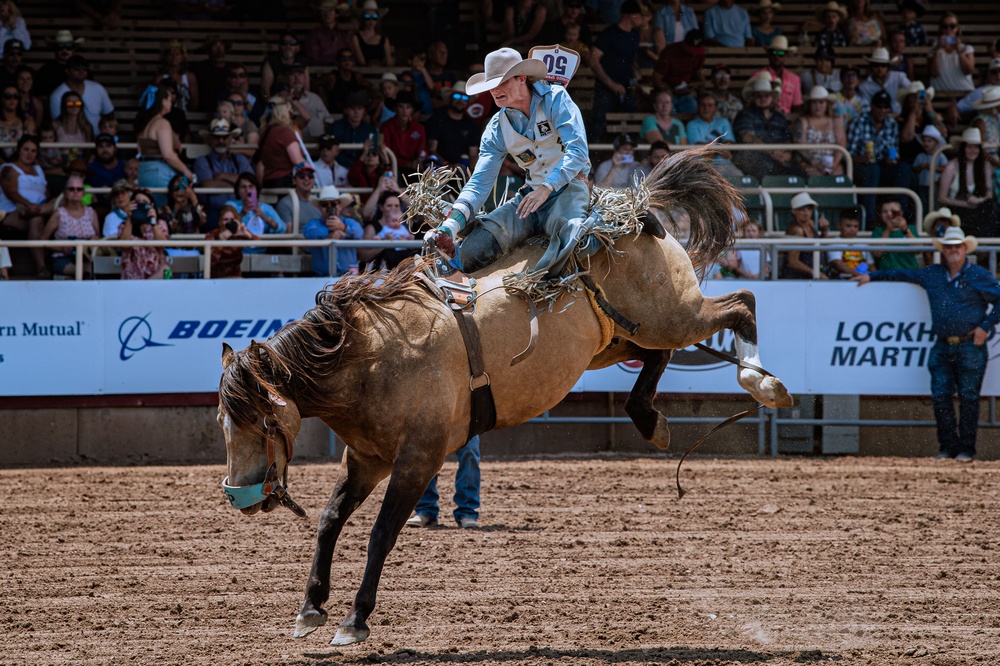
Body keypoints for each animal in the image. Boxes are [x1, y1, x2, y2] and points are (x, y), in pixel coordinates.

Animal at [221, 149, 796, 644]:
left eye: (262, 423)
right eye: (228, 426)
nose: (236, 495)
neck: (375, 355)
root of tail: (630, 212)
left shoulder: (417, 459)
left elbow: (381, 532)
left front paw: (354, 619)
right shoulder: (365, 458)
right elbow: (329, 520)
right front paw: (310, 608)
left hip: (673, 313)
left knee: (740, 304)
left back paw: (763, 383)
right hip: (622, 337)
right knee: (659, 356)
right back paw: (648, 419)